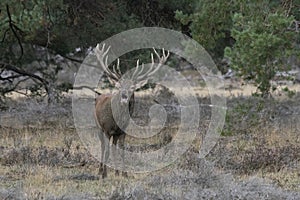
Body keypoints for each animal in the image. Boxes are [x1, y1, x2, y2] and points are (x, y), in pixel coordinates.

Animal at [94, 43, 169, 178]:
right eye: (119, 86)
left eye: (132, 87)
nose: (124, 97)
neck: (117, 120)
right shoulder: (107, 129)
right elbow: (106, 150)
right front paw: (104, 174)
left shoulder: (123, 132)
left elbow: (122, 151)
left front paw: (124, 173)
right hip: (98, 126)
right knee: (103, 147)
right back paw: (100, 170)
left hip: (115, 134)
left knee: (113, 148)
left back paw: (116, 172)